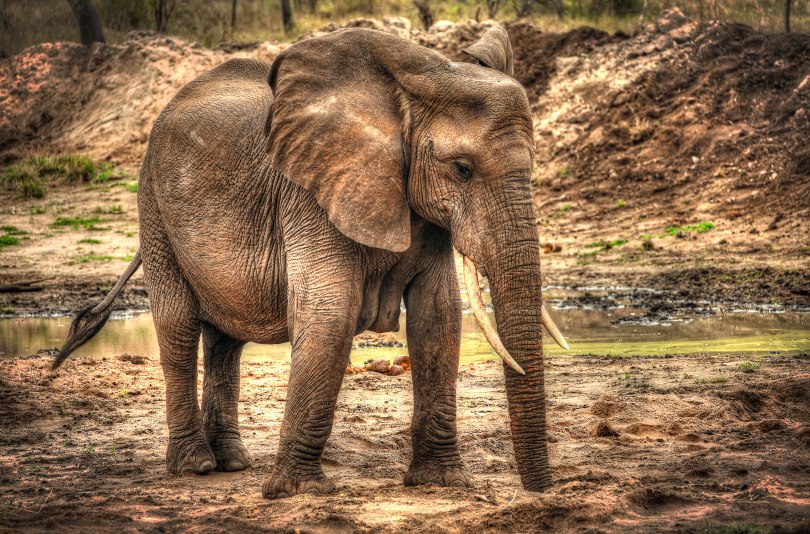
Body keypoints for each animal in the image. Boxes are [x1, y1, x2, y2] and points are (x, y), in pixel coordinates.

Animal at [54, 25, 568, 498]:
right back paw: (194, 467)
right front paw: (298, 491)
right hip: (154, 203)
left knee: (226, 340)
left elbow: (437, 318)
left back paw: (232, 462)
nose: (539, 491)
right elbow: (331, 315)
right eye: (461, 169)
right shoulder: (309, 193)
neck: (416, 81)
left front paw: (441, 482)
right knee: (178, 326)